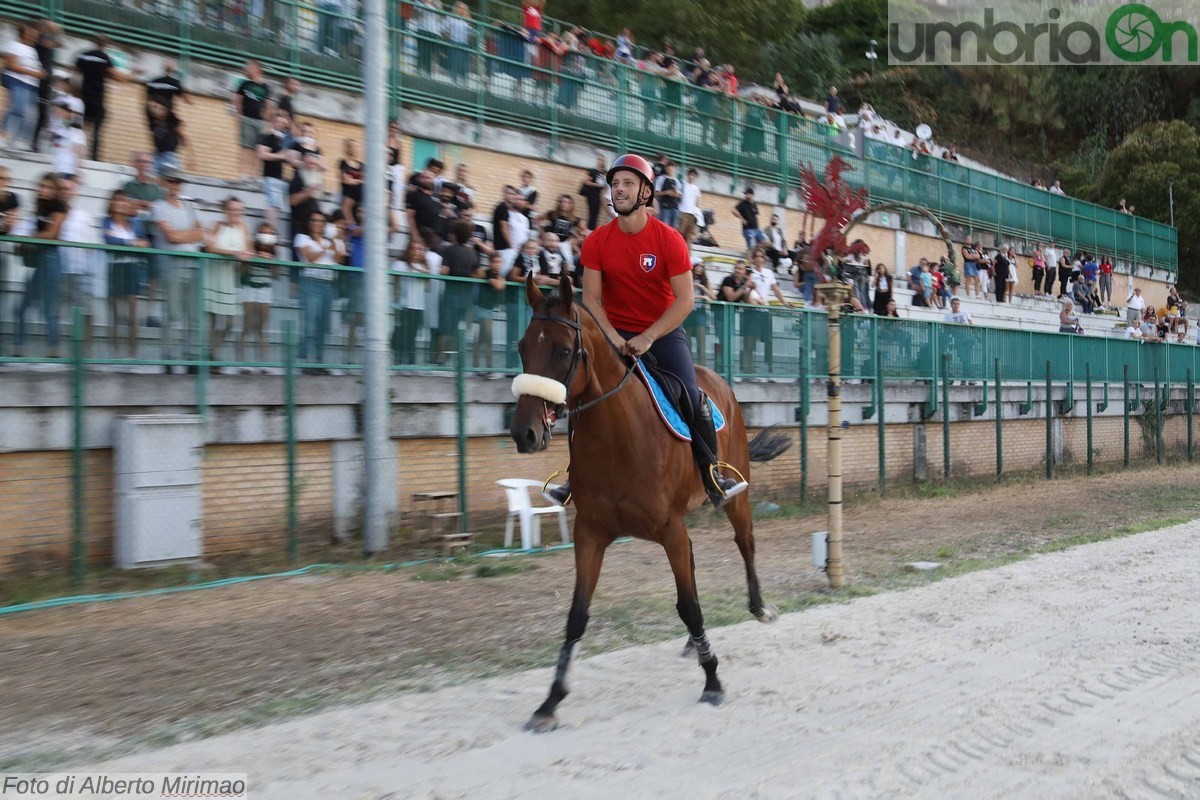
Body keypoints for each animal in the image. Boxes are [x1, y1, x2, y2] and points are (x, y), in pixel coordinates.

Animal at [511, 272, 792, 734]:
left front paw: (712, 680)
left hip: (733, 497)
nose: (524, 433)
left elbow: (689, 606)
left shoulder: (668, 529)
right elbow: (577, 616)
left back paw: (758, 608)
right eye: (522, 346)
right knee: (695, 564)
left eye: (564, 350)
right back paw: (693, 645)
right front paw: (550, 702)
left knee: (745, 543)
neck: (617, 438)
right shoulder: (591, 533)